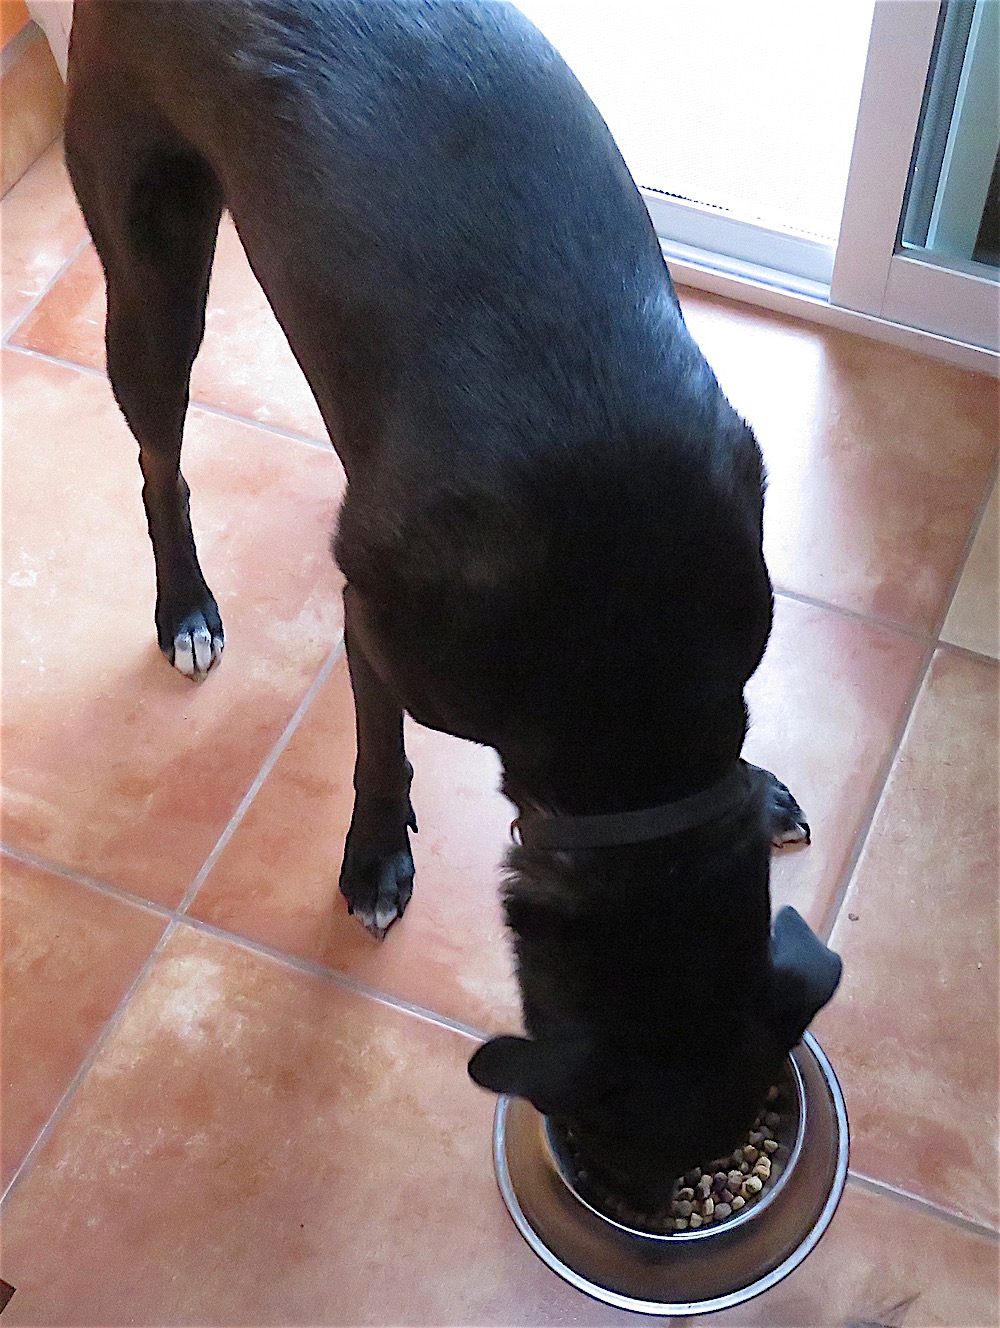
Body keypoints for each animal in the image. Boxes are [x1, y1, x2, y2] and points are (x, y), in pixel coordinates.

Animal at [64, 0, 841, 1209]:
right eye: (612, 1156)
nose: (635, 1208)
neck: (626, 647)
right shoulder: (387, 631)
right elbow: (380, 741)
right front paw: (377, 855)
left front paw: (760, 788)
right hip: (150, 269)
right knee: (159, 461)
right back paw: (185, 605)